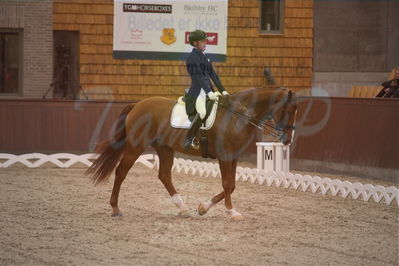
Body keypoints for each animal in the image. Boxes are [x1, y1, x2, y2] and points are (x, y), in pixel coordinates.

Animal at [88, 87, 300, 220]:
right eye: (288, 111)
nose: (288, 140)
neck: (237, 116)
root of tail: (138, 104)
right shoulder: (225, 156)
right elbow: (227, 184)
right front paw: (231, 212)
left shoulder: (233, 157)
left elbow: (232, 186)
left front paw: (202, 208)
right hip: (135, 146)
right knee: (121, 172)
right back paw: (115, 208)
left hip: (164, 148)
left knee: (164, 176)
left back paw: (183, 208)